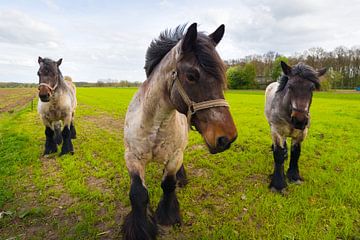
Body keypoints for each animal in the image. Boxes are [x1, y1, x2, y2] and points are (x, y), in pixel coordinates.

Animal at [122, 23, 238, 240]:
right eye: (192, 76)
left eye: (221, 78)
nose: (227, 138)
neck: (154, 125)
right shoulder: (132, 157)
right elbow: (138, 194)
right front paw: (141, 230)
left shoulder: (175, 156)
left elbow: (168, 185)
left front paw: (168, 216)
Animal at [264, 61, 326, 192]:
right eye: (290, 87)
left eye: (312, 88)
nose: (299, 121)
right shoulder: (277, 132)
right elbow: (278, 154)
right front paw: (278, 184)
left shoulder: (301, 134)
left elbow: (296, 153)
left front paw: (294, 176)